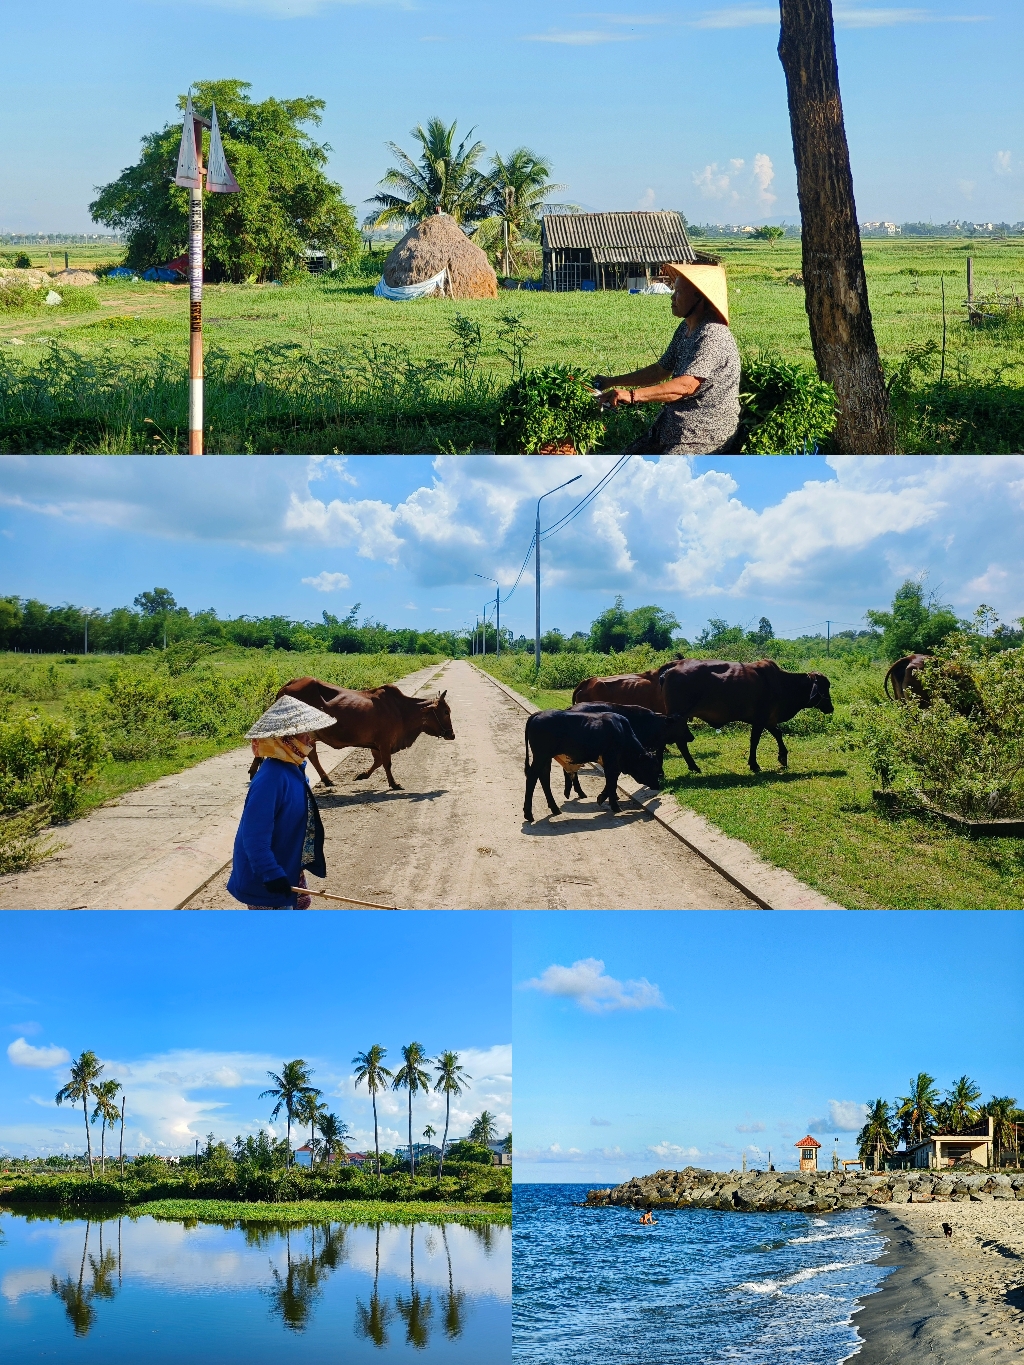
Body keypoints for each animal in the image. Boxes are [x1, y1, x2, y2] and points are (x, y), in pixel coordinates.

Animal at [247, 674, 456, 791]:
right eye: (446, 712)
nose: (452, 735)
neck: (402, 710)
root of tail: (287, 685)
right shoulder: (385, 742)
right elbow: (387, 763)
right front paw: (394, 784)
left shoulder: (377, 744)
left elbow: (378, 763)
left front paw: (363, 775)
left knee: (311, 755)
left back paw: (327, 779)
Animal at [521, 704, 666, 819]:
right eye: (651, 768)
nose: (657, 785)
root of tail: (538, 714)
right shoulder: (611, 760)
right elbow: (612, 781)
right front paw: (614, 805)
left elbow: (612, 780)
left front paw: (604, 798)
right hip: (541, 756)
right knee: (533, 776)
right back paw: (528, 813)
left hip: (546, 758)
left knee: (544, 777)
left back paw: (555, 808)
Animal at [660, 657, 835, 775]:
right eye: (825, 686)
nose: (831, 708)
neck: (782, 683)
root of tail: (675, 665)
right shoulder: (760, 719)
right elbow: (755, 741)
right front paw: (754, 764)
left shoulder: (768, 719)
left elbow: (778, 734)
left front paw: (782, 757)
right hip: (677, 719)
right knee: (678, 742)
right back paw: (692, 767)